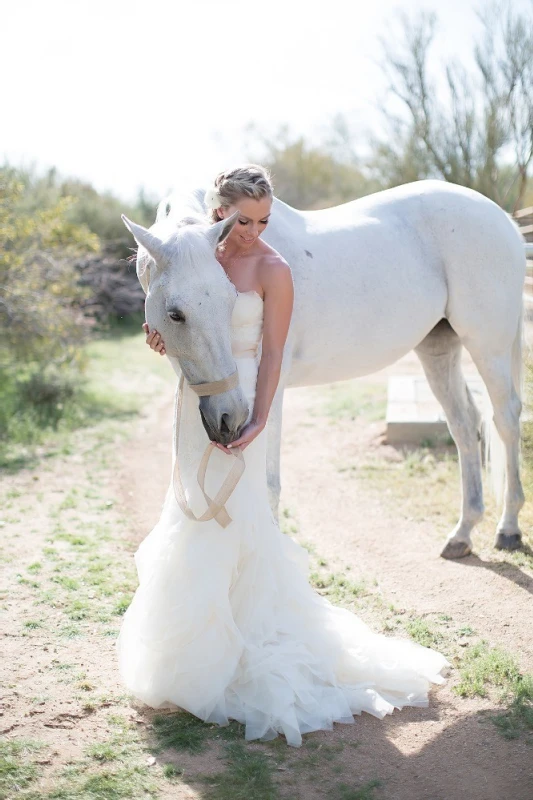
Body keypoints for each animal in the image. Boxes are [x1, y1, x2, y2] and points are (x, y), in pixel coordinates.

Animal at [123, 178, 524, 560]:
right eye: (176, 314)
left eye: (231, 300)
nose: (231, 416)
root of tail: (501, 218)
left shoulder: (271, 393)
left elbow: (269, 485)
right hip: (438, 349)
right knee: (464, 425)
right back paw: (463, 533)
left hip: (489, 347)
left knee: (505, 419)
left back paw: (508, 528)